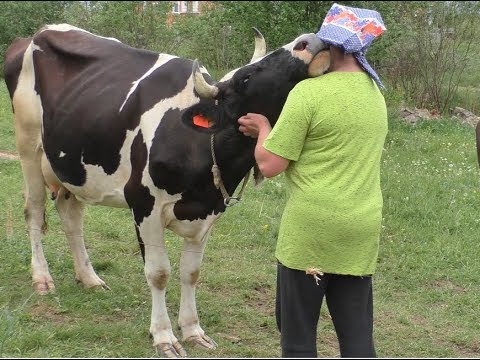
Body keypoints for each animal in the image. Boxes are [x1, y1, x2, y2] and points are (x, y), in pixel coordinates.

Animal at [3, 23, 332, 358]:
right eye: (247, 77)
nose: (310, 40)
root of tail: (37, 33)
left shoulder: (210, 211)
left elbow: (191, 272)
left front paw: (193, 330)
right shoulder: (144, 206)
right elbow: (159, 273)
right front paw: (164, 336)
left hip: (73, 168)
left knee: (71, 217)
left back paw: (89, 277)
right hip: (28, 146)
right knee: (34, 211)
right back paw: (42, 279)